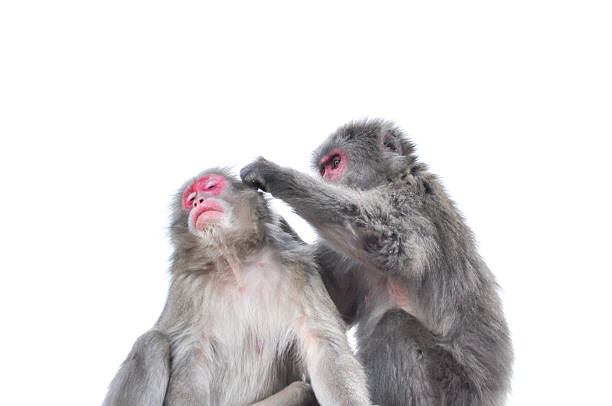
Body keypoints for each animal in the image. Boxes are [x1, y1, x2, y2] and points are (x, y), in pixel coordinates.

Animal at [102, 167, 370, 406]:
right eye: (189, 199)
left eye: (211, 186)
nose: (198, 200)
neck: (235, 263)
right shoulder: (189, 287)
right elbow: (191, 364)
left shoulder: (298, 270)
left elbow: (325, 351)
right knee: (152, 344)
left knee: (302, 391)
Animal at [241, 120, 512, 406]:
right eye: (324, 168)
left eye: (335, 163)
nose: (325, 178)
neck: (392, 177)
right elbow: (335, 299)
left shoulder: (410, 202)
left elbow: (389, 241)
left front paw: (273, 174)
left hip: (452, 387)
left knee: (394, 326)